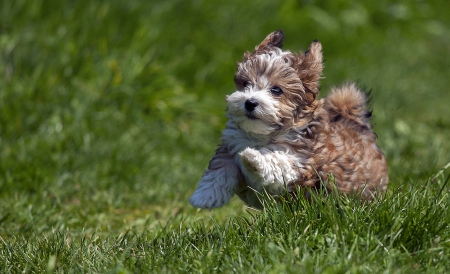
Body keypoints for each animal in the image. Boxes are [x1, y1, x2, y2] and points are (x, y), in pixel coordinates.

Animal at [188, 30, 388, 209]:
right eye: (245, 84)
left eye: (276, 90)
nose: (250, 102)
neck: (264, 134)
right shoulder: (232, 144)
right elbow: (219, 170)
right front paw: (204, 196)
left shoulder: (299, 161)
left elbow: (276, 160)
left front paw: (252, 157)